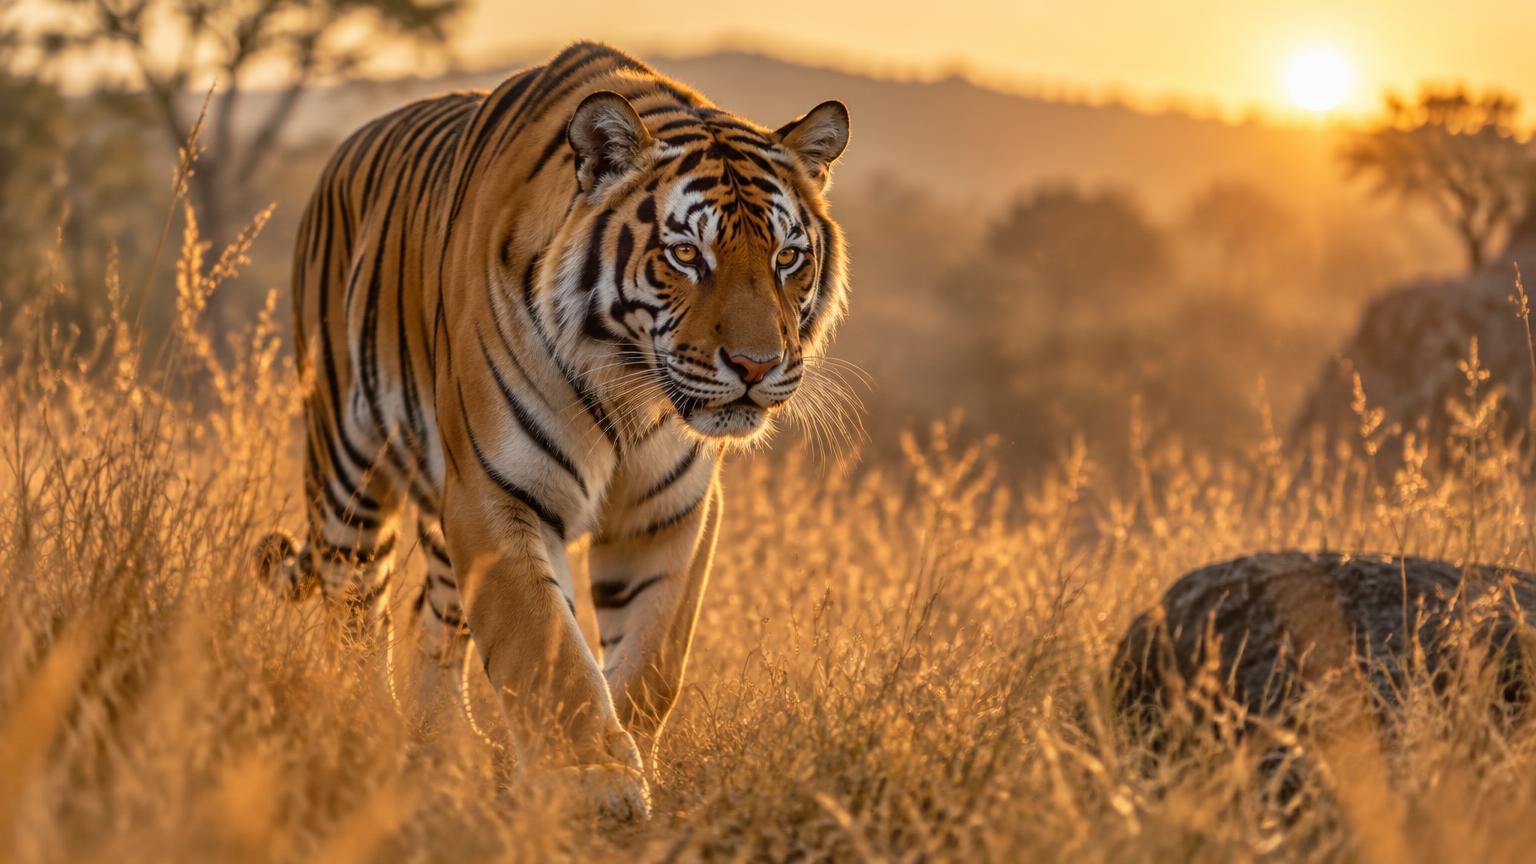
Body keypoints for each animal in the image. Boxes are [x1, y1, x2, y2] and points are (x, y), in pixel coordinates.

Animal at [256, 41, 851, 820]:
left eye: (788, 258)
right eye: (687, 255)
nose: (756, 365)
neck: (632, 388)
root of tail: (347, 148)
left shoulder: (672, 512)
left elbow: (653, 660)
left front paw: (631, 761)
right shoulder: (495, 493)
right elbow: (545, 645)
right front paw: (593, 780)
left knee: (429, 618)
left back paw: (447, 749)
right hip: (347, 471)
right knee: (353, 613)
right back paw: (363, 727)